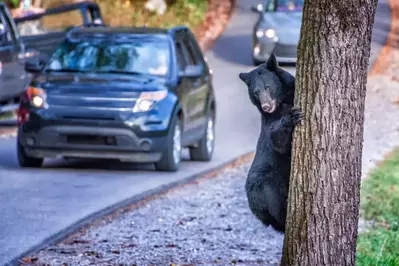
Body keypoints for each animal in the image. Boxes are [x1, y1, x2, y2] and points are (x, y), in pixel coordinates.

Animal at [241, 54, 304, 233]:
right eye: (256, 92)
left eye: (268, 87)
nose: (266, 106)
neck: (282, 103)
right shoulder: (269, 122)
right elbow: (278, 141)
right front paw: (291, 118)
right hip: (263, 179)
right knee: (269, 191)